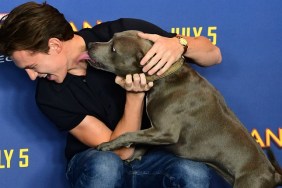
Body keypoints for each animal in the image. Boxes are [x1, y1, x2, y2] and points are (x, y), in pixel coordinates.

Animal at [88, 30, 282, 187]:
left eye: (114, 49)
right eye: (110, 38)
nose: (89, 44)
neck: (165, 75)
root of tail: (272, 174)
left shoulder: (165, 131)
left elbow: (130, 134)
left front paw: (108, 144)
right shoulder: (154, 131)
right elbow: (140, 139)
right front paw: (134, 156)